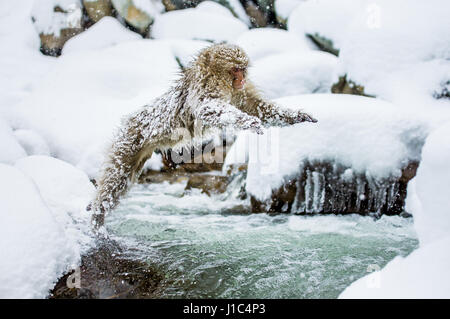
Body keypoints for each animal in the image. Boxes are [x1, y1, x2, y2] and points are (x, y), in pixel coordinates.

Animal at [89, 43, 316, 229]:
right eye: (235, 70)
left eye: (242, 70)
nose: (242, 79)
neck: (220, 77)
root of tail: (130, 122)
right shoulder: (207, 83)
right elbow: (207, 108)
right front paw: (247, 121)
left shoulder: (239, 92)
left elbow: (258, 108)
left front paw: (296, 115)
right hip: (129, 142)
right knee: (116, 178)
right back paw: (98, 214)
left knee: (121, 184)